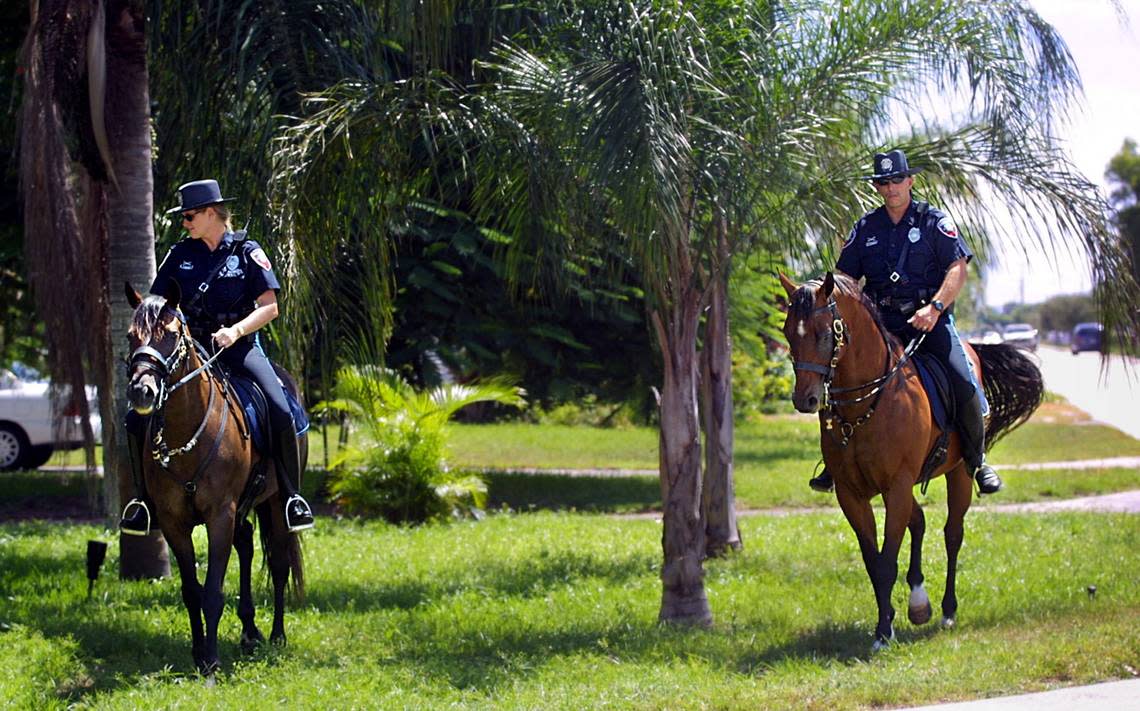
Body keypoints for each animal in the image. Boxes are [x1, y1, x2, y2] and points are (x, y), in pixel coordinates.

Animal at [125, 279, 305, 679]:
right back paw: (250, 630)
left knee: (280, 563)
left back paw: (278, 634)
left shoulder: (220, 514)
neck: (187, 431)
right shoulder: (174, 522)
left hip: (274, 502)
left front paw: (211, 661)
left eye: (171, 335)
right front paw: (197, 652)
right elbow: (192, 591)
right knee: (247, 544)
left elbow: (212, 591)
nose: (141, 391)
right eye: (131, 336)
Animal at [784, 272, 1044, 651]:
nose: (805, 399)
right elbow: (874, 561)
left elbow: (887, 561)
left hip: (958, 474)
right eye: (788, 331)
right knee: (919, 522)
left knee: (953, 533)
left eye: (823, 332)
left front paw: (883, 633)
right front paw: (888, 620)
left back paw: (948, 609)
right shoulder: (851, 494)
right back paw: (919, 602)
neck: (868, 403)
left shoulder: (897, 486)